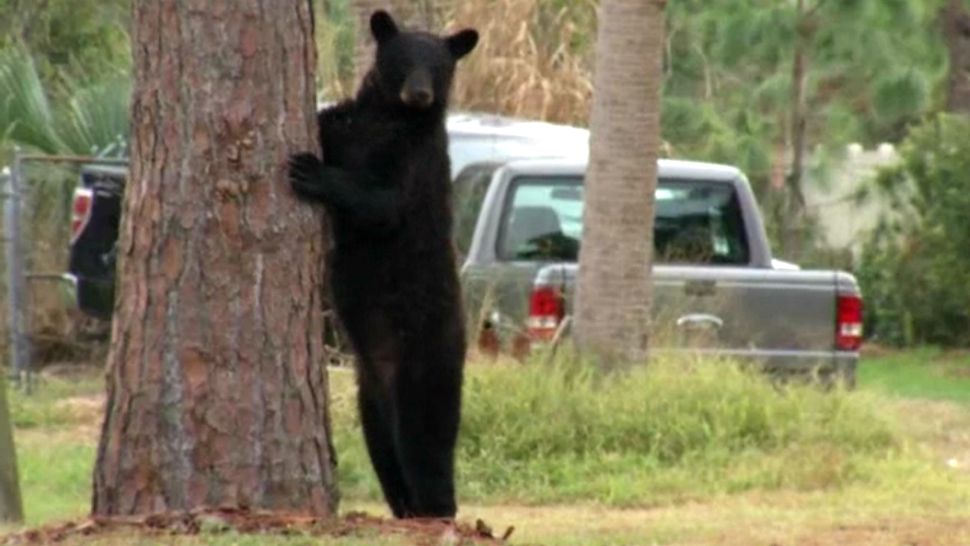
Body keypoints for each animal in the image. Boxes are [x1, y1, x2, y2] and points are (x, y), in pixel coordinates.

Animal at [286, 10, 478, 516]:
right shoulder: (345, 124)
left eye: (439, 67)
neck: (389, 117)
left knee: (425, 445)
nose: (420, 93)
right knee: (386, 454)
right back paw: (405, 509)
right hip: (368, 398)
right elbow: (328, 121)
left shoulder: (412, 159)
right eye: (404, 60)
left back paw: (438, 511)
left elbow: (382, 204)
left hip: (426, 361)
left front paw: (309, 170)